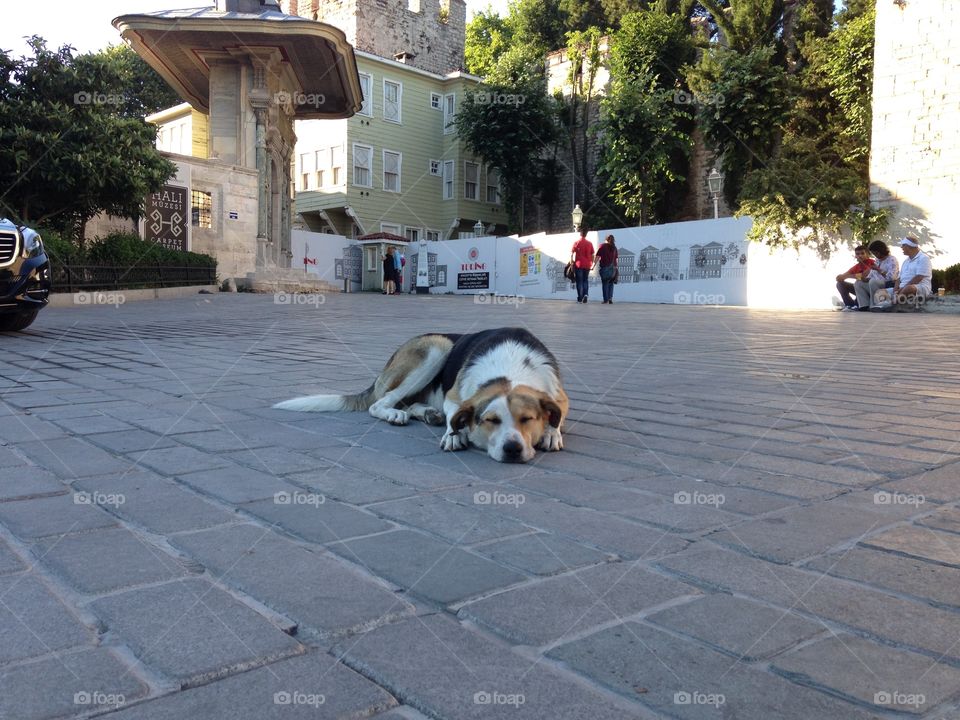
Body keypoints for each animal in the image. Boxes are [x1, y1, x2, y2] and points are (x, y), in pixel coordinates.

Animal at [274, 330, 568, 464]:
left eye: (527, 419)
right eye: (491, 420)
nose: (512, 449)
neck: (509, 369)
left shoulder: (559, 394)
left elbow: (558, 414)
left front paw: (551, 433)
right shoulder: (454, 396)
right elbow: (454, 415)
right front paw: (454, 435)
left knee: (409, 402)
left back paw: (427, 413)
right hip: (437, 347)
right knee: (381, 403)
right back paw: (396, 414)